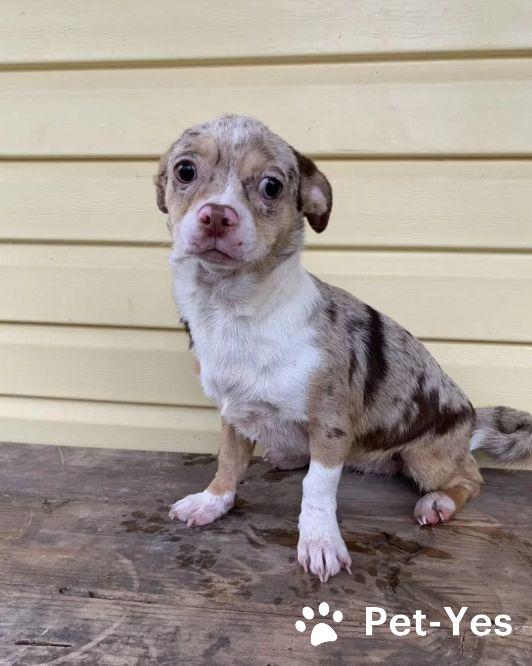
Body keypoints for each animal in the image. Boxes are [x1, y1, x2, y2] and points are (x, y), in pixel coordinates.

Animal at [155, 114, 532, 581]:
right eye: (185, 171)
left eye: (271, 186)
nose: (217, 215)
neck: (237, 311)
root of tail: (473, 418)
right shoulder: (234, 414)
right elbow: (228, 462)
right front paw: (212, 501)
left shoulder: (331, 423)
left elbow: (317, 486)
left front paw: (319, 542)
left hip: (429, 458)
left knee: (471, 478)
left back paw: (439, 502)